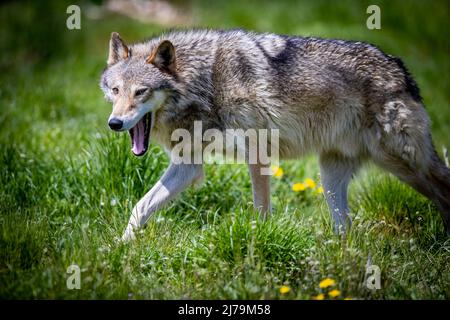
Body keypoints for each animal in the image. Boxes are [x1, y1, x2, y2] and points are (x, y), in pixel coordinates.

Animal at [99, 29, 450, 240]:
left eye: (141, 92)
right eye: (115, 90)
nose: (114, 123)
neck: (206, 84)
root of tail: (400, 67)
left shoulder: (257, 154)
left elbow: (260, 210)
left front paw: (258, 244)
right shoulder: (188, 165)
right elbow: (140, 207)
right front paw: (122, 248)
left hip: (406, 164)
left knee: (443, 190)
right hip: (331, 178)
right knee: (345, 228)